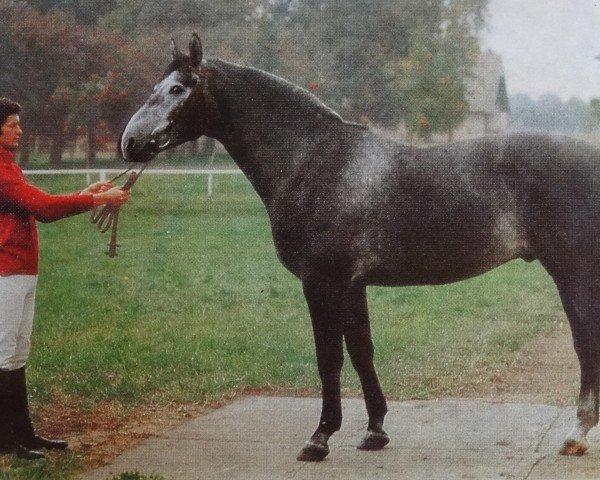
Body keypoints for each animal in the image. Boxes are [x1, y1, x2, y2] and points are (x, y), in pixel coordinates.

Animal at [119, 33, 600, 462]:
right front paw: (374, 432)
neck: (311, 159)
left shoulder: (321, 282)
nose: (130, 142)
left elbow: (329, 358)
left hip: (573, 274)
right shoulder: (351, 285)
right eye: (155, 87)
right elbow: (362, 352)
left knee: (585, 342)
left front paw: (319, 439)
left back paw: (577, 435)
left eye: (177, 89)